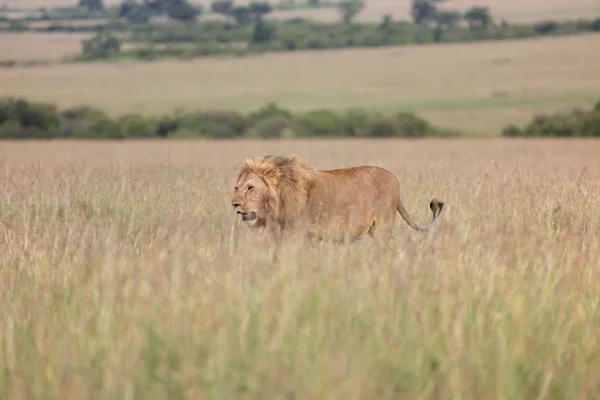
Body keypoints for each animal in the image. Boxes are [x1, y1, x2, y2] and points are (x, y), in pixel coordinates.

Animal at [232, 153, 442, 260]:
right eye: (236, 187)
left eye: (250, 188)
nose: (234, 204)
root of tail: (395, 181)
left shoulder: (299, 235)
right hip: (375, 229)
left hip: (382, 226)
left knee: (392, 244)